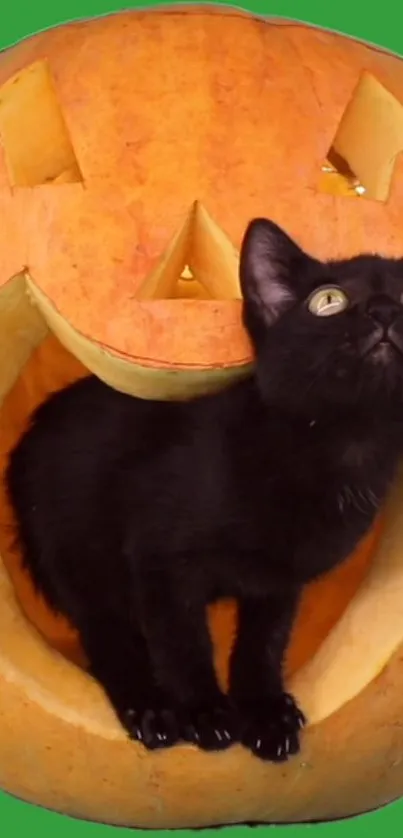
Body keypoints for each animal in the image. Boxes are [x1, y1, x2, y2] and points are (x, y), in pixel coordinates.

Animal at [6, 220, 403, 764]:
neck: (344, 445)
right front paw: (203, 711)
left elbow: (264, 641)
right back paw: (150, 708)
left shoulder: (279, 581)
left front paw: (264, 712)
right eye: (329, 301)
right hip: (74, 547)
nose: (384, 312)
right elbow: (183, 642)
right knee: (106, 632)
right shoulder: (158, 558)